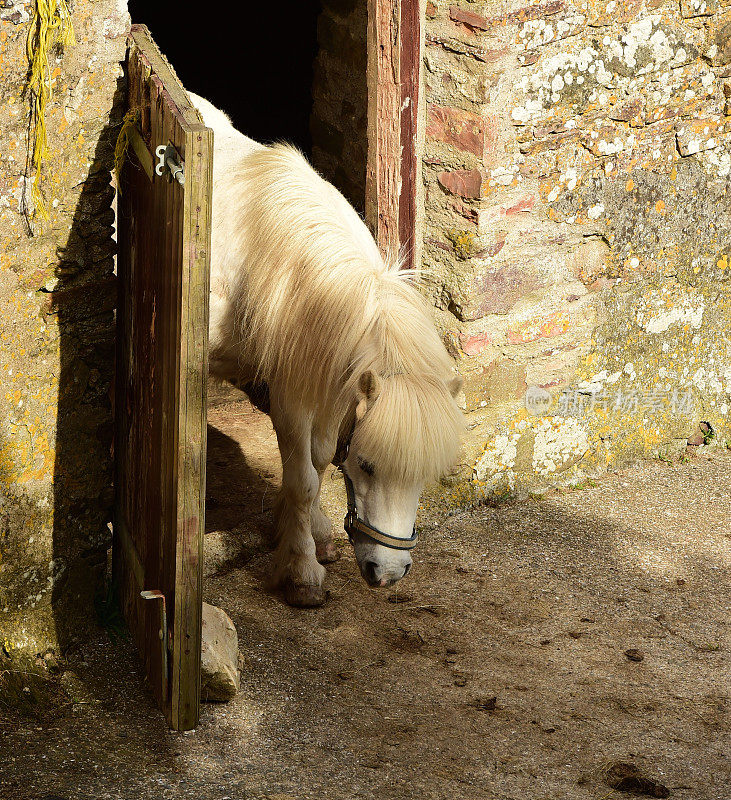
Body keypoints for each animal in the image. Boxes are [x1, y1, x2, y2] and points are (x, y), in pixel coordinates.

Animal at [192, 94, 466, 608]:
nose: (389, 573)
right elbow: (303, 479)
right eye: (368, 465)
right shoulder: (290, 393)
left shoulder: (335, 383)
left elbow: (318, 462)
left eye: (423, 476)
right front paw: (301, 572)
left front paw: (313, 535)